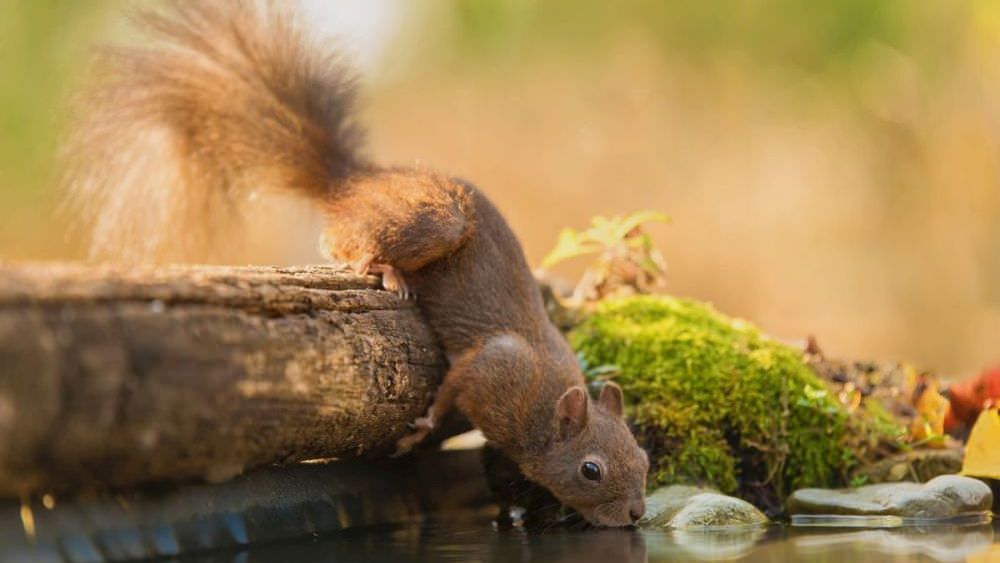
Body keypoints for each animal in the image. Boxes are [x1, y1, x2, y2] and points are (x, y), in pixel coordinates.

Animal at [66, 1, 652, 528]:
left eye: (644, 457)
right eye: (591, 470)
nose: (636, 516)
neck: (543, 402)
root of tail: (352, 182)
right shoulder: (493, 370)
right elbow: (452, 386)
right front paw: (421, 428)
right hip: (431, 221)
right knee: (342, 241)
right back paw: (385, 270)